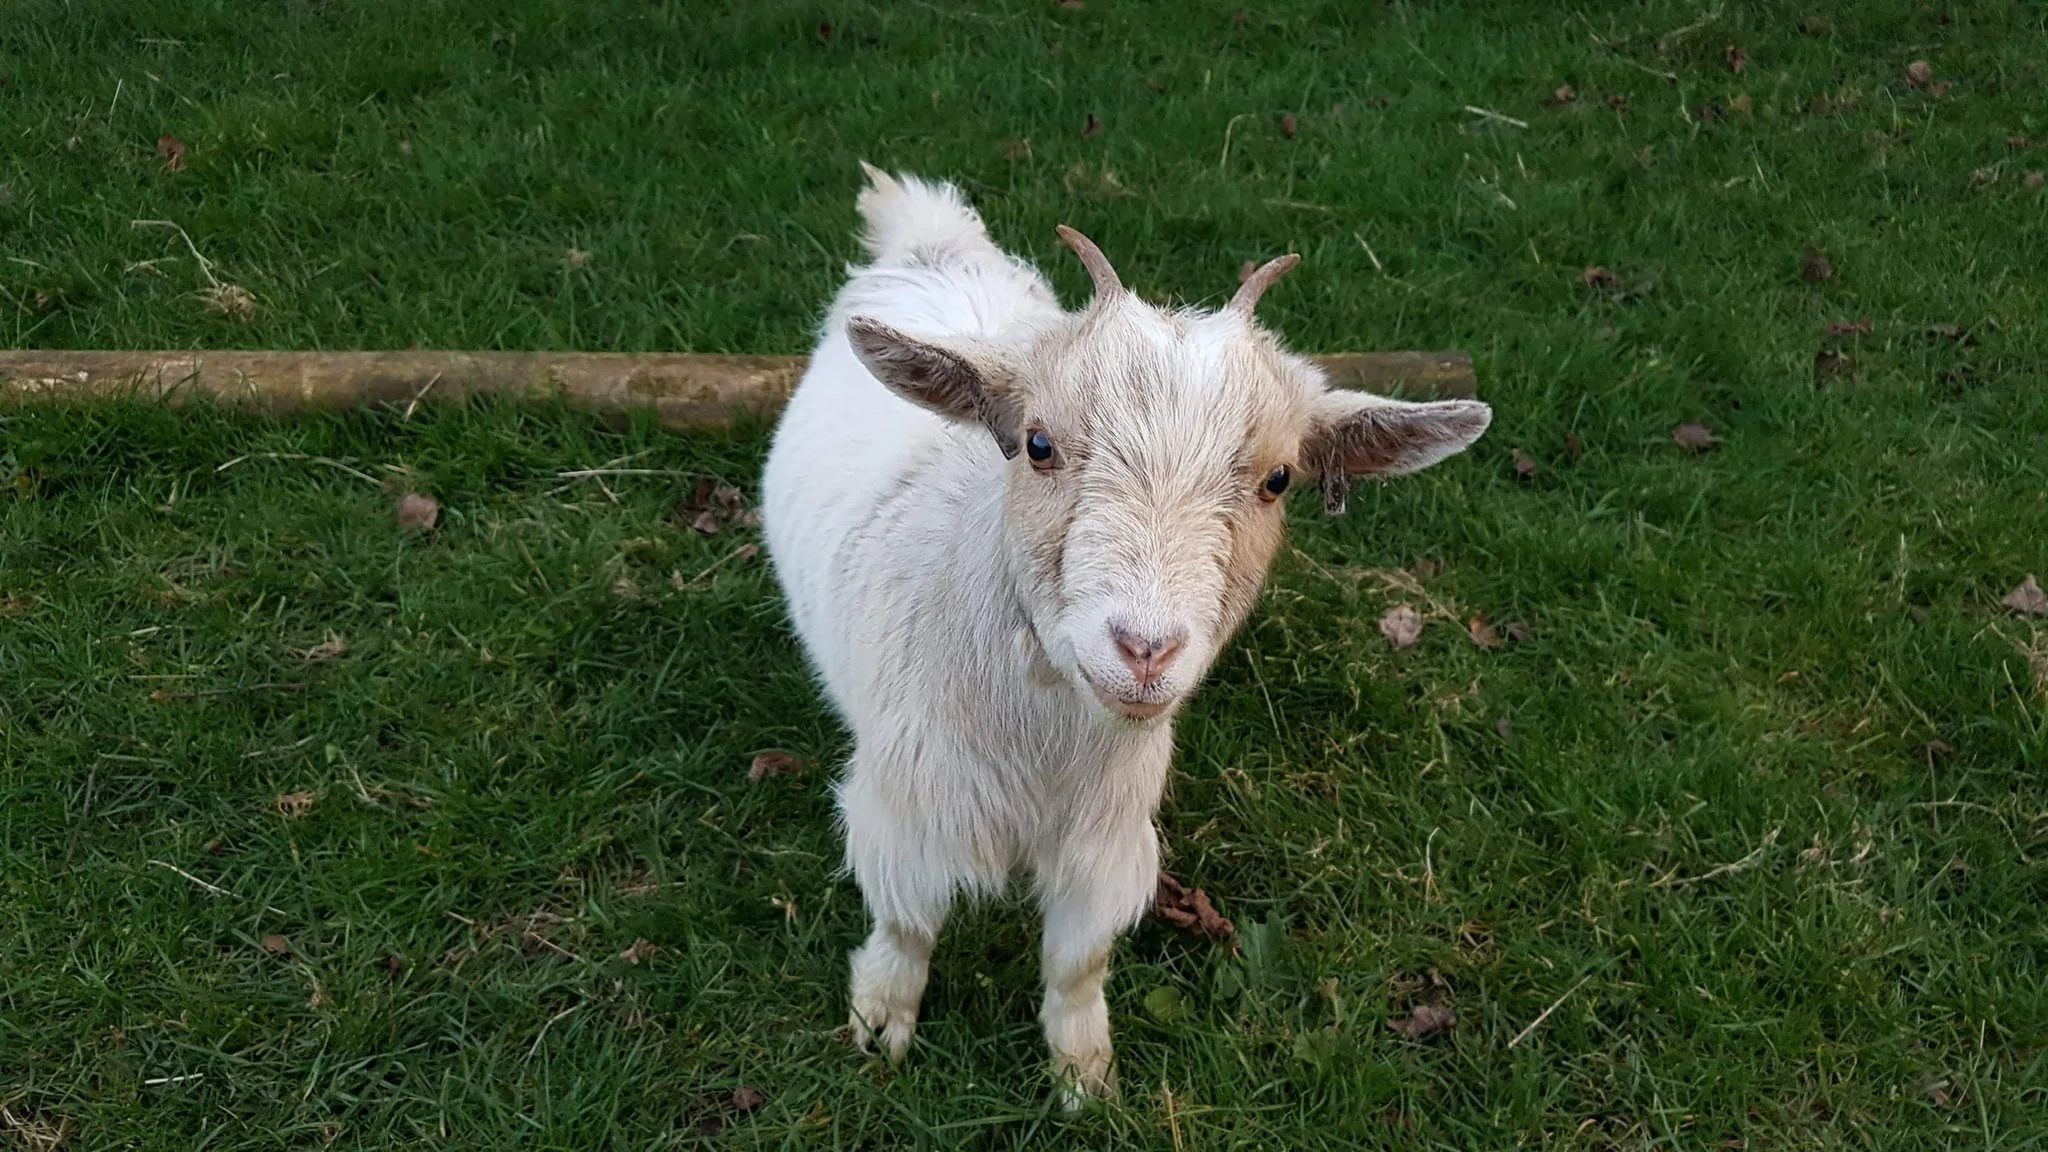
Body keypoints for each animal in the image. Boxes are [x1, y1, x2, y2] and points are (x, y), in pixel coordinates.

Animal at [759, 165, 1491, 1105]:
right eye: (1038, 443)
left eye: (1280, 478)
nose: (1144, 650)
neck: (1042, 733)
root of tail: (930, 233)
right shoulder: (909, 805)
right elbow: (907, 925)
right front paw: (883, 1020)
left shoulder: (1107, 840)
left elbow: (1078, 962)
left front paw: (1084, 1077)